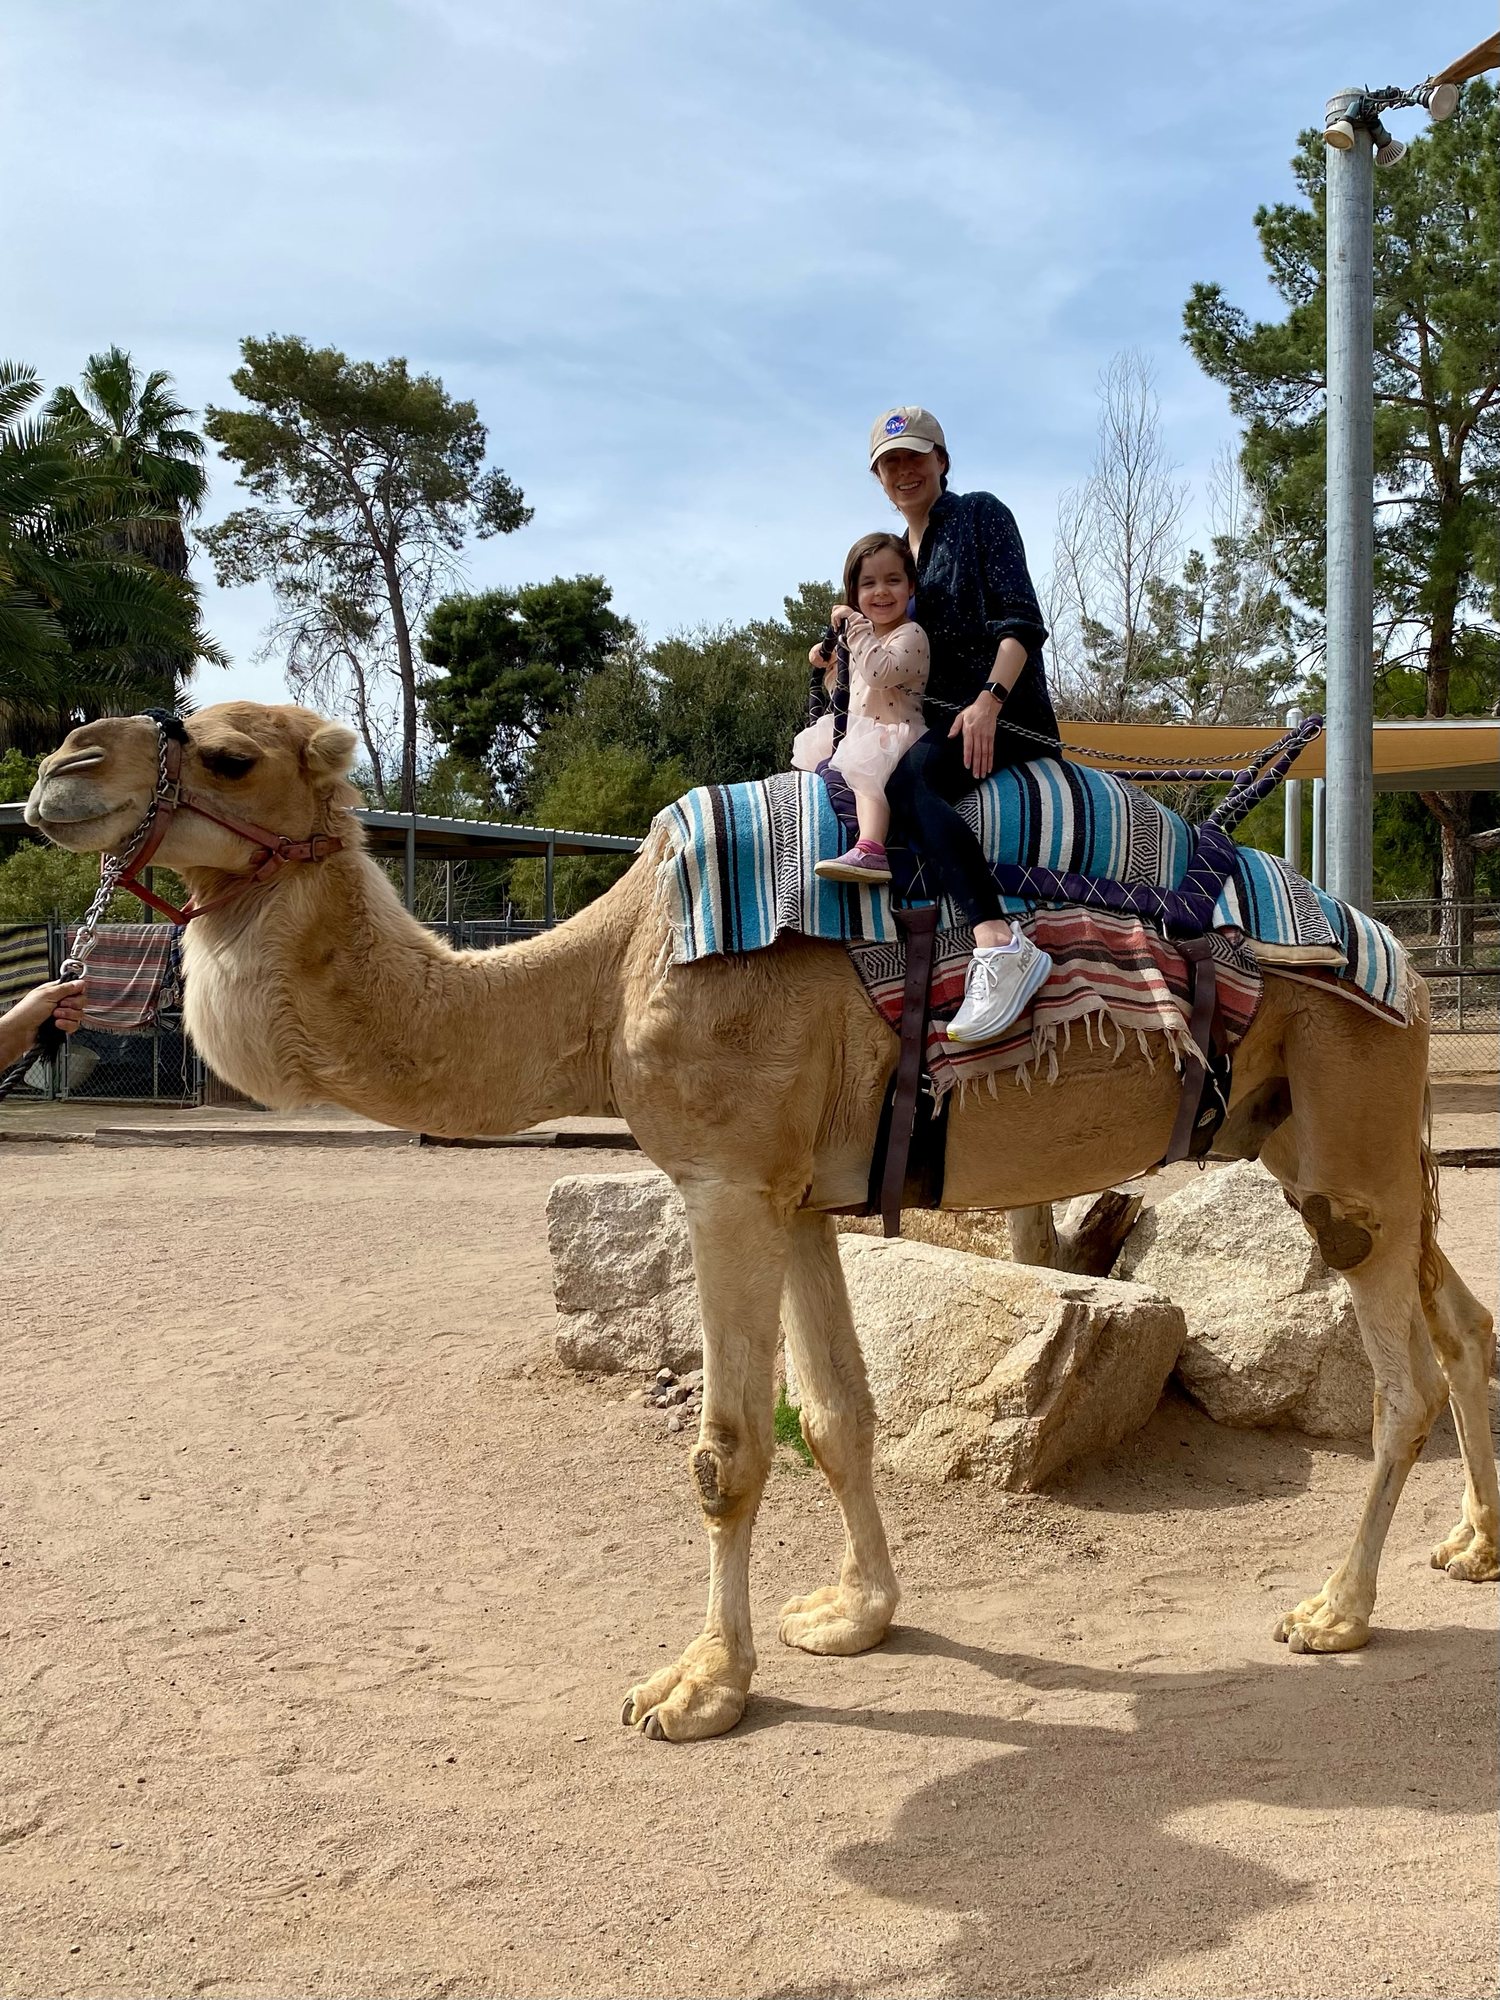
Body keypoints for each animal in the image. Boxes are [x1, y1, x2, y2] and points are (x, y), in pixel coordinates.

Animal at [28, 701, 1498, 1743]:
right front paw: (853, 1615)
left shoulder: (724, 1180)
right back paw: (1473, 1547)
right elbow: (836, 1413)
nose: (59, 768)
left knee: (1404, 1380)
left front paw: (697, 1689)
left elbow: (728, 1449)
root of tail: (1407, 965)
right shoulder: (797, 1193)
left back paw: (1335, 1611)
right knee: (1463, 1320)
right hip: (1350, 1145)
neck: (602, 973)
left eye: (227, 755)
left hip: (1348, 1127)